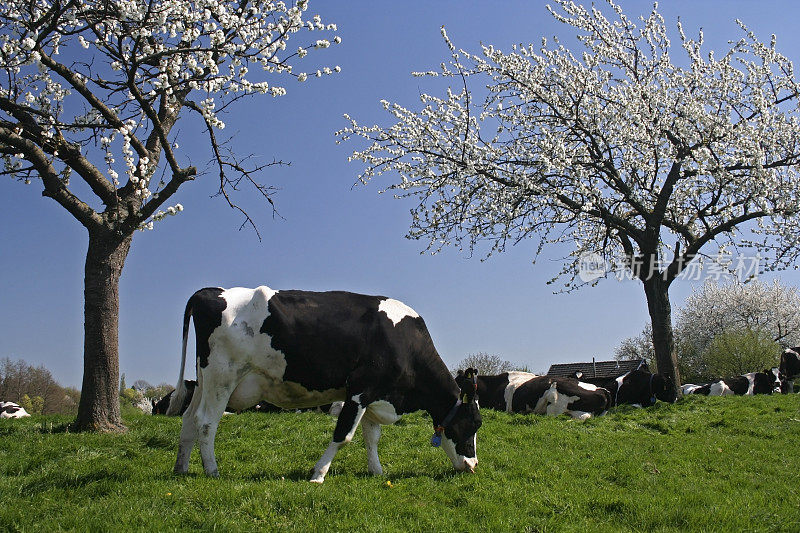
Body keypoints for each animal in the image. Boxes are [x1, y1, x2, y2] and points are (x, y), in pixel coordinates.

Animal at [169, 286, 482, 482]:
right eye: (473, 424)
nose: (473, 465)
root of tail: (210, 291)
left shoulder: (375, 395)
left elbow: (372, 437)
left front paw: (377, 471)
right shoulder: (360, 389)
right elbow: (344, 435)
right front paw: (318, 474)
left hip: (204, 379)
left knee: (188, 419)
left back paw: (181, 468)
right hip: (223, 376)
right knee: (206, 421)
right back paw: (212, 471)